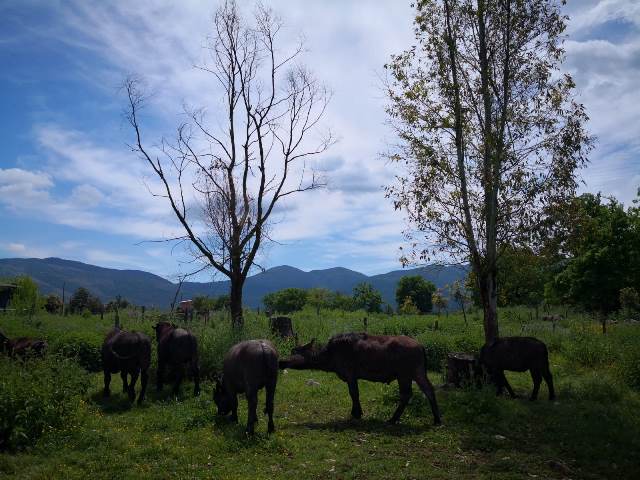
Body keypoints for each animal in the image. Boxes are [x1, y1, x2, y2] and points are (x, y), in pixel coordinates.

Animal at [282, 332, 442, 426]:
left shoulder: (350, 375)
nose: (282, 361)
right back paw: (436, 419)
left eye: (294, 351)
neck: (330, 353)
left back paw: (393, 419)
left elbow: (354, 394)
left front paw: (357, 413)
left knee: (406, 394)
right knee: (428, 390)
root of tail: (420, 345)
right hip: (417, 374)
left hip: (405, 375)